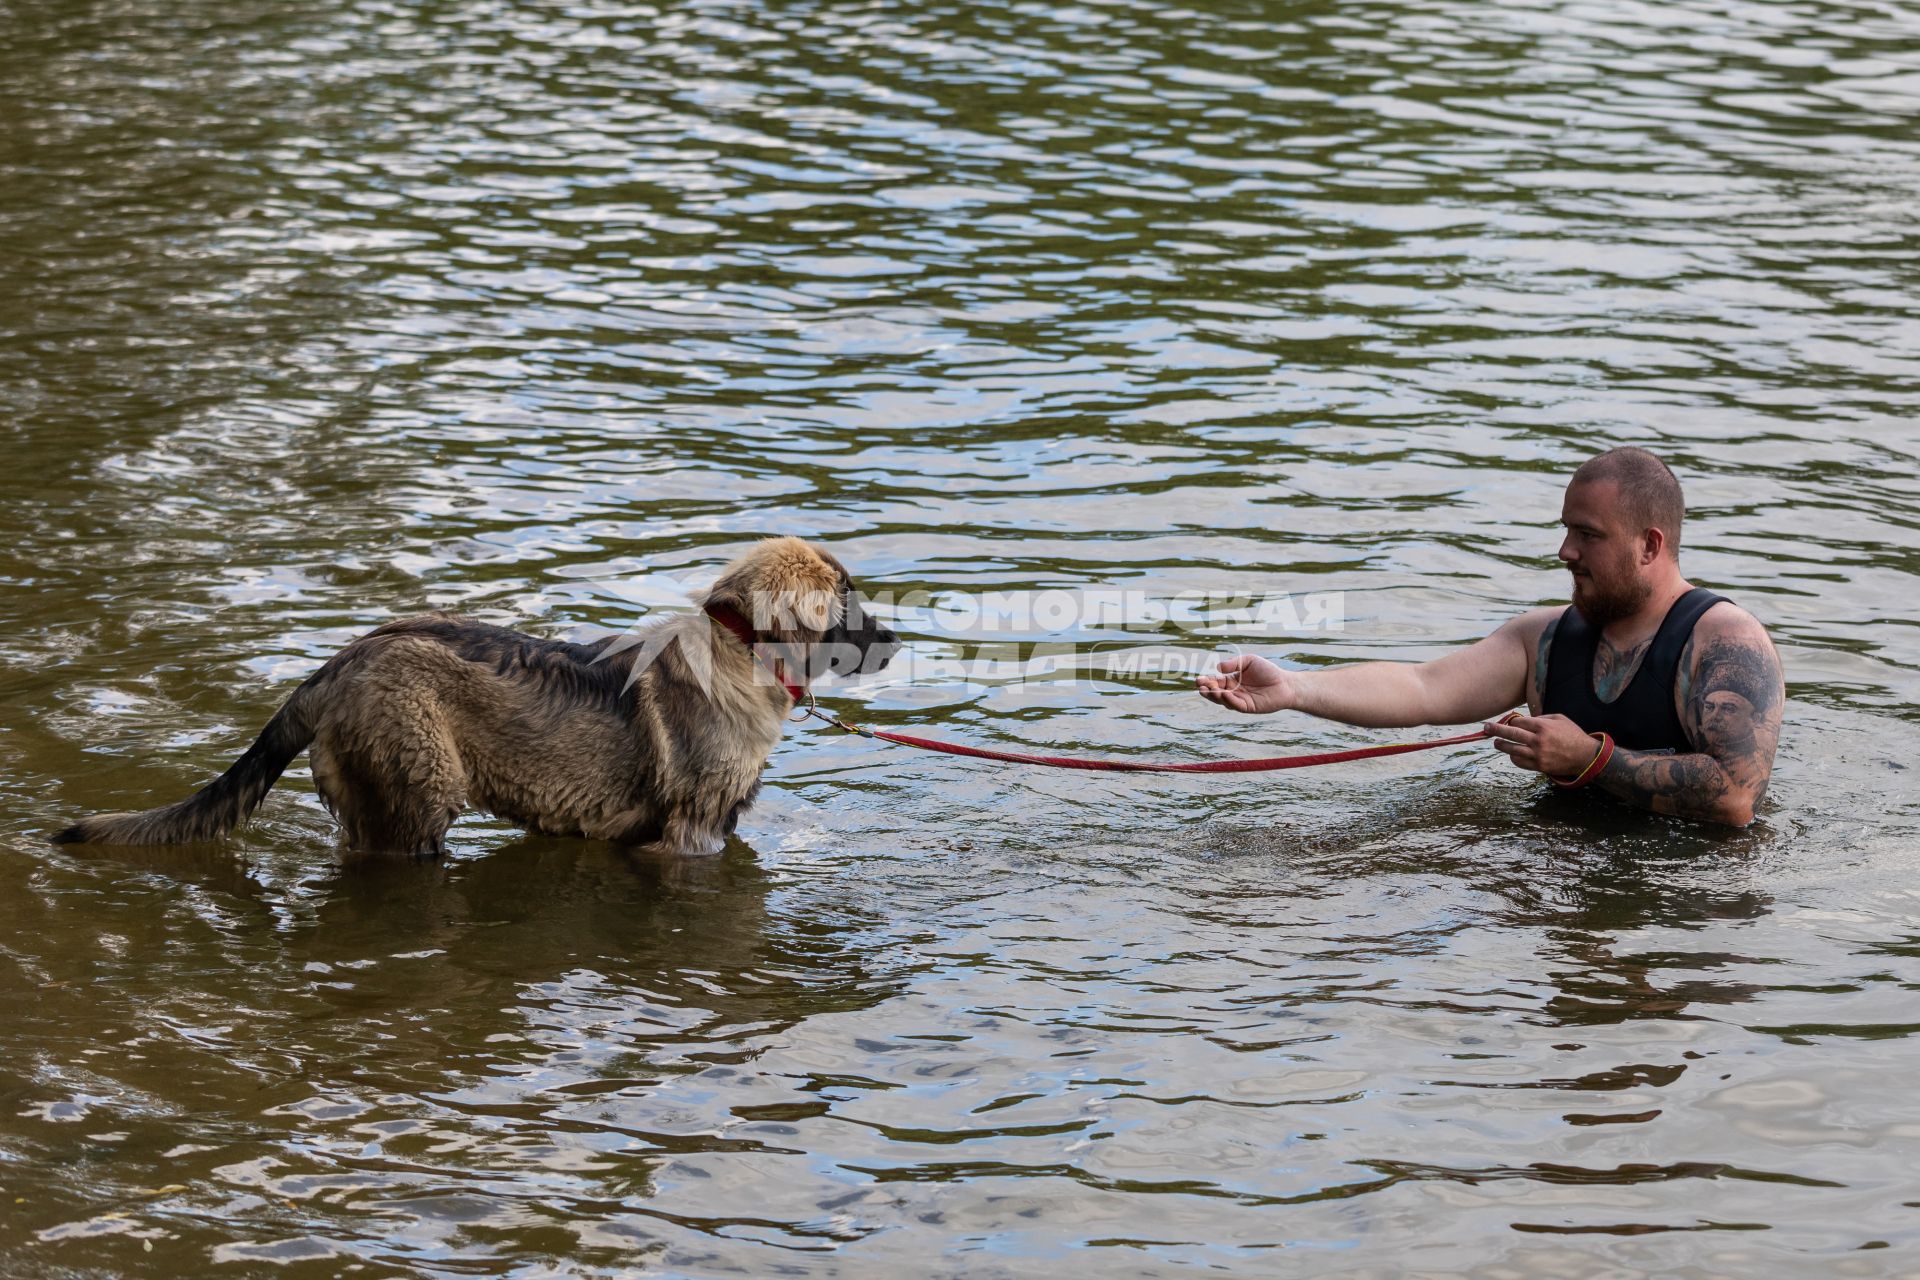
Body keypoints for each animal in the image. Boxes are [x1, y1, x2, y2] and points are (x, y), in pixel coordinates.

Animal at [52, 537, 902, 855]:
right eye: (847, 604)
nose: (896, 641)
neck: (738, 649)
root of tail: (333, 668)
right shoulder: (691, 836)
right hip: (415, 795)